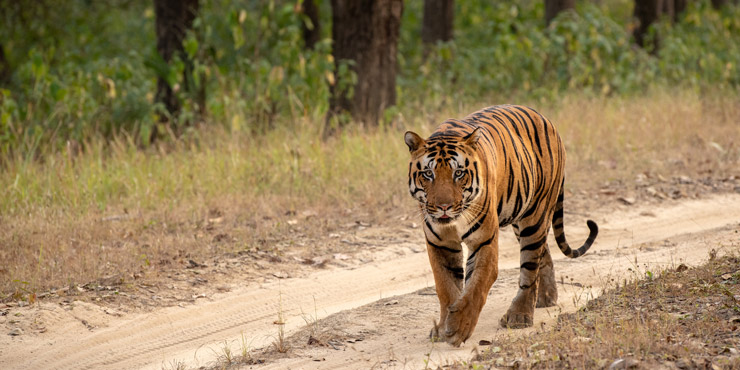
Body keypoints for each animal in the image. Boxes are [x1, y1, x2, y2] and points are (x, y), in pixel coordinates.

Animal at [402, 104, 600, 346]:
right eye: (428, 174)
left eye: (458, 173)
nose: (444, 207)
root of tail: (545, 118)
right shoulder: (440, 244)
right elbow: (447, 288)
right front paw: (443, 327)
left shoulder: (484, 240)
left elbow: (476, 287)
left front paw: (458, 328)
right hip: (522, 220)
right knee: (543, 253)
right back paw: (546, 298)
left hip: (535, 217)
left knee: (530, 266)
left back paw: (520, 315)